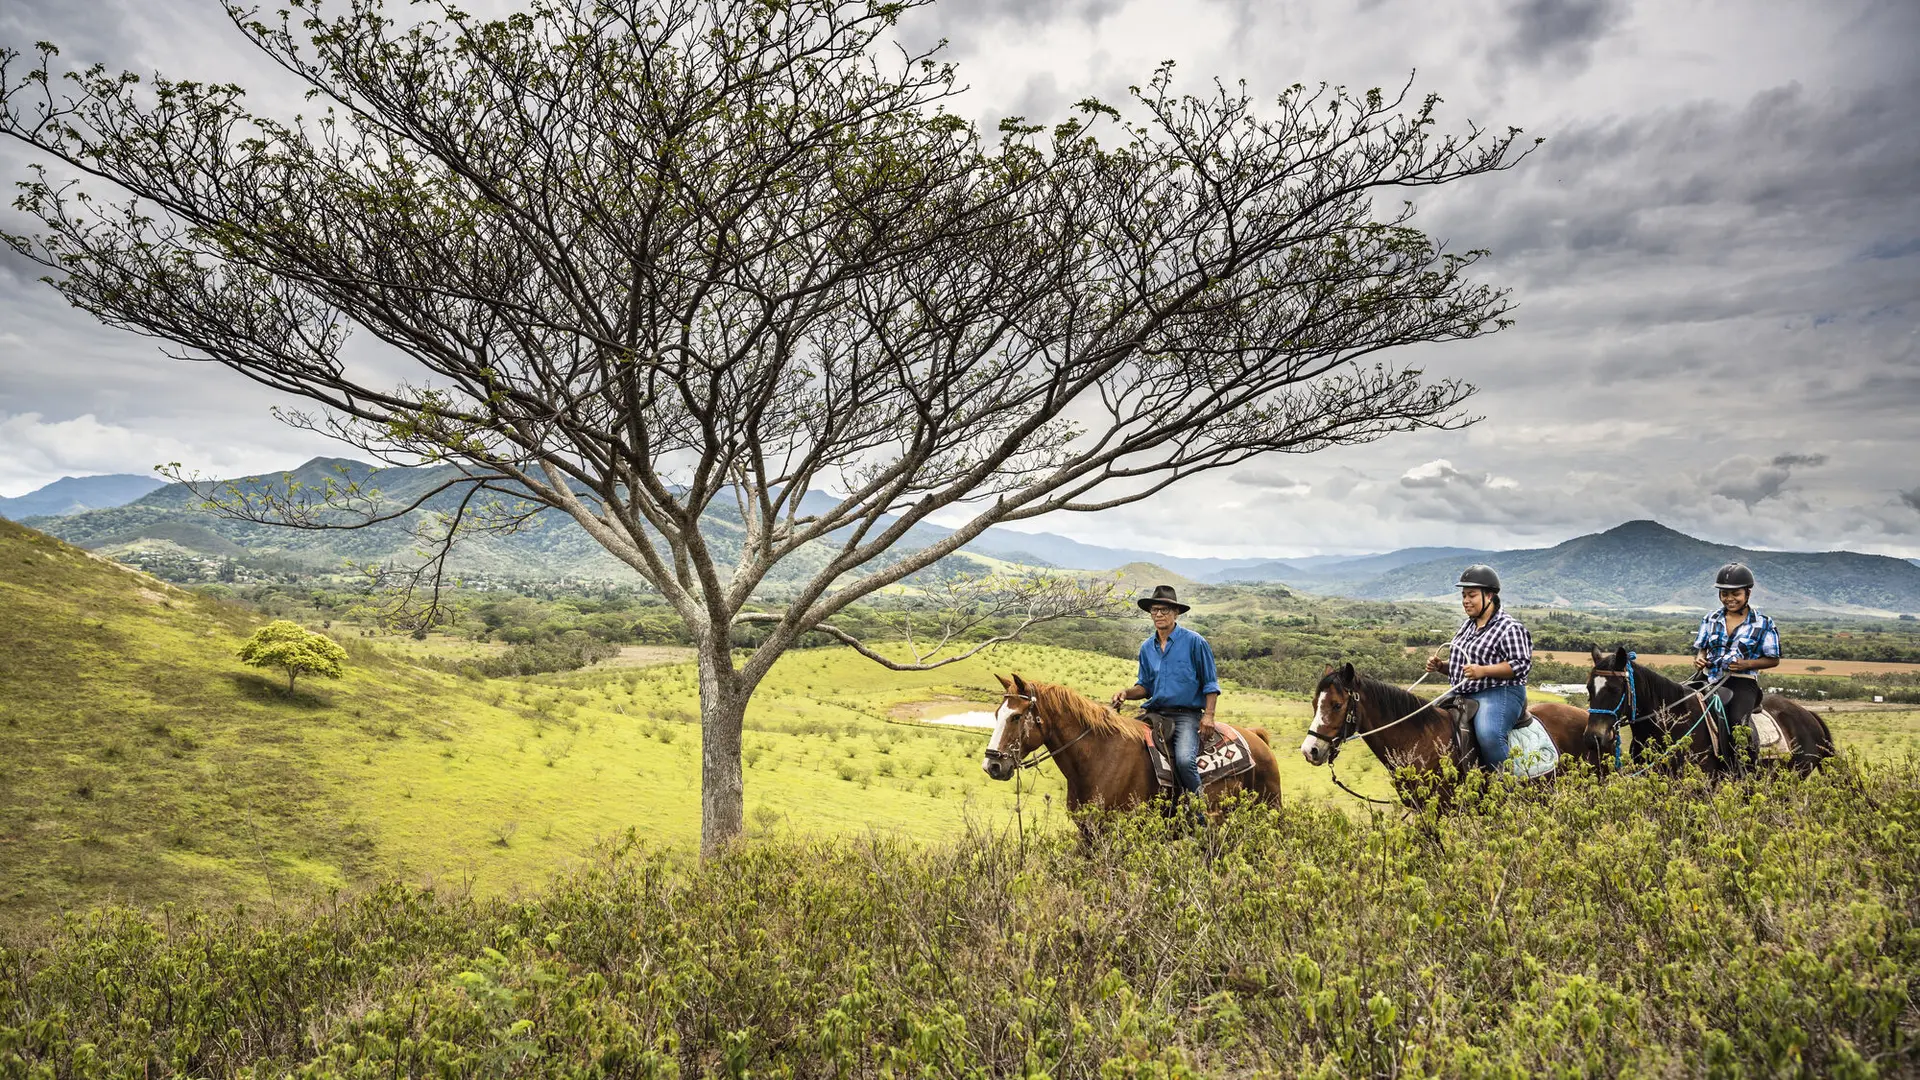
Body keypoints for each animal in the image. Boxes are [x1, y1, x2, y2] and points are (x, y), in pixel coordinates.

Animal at [983, 664, 1282, 822]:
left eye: (1016, 717)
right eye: (997, 714)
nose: (992, 765)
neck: (1098, 757)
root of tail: (1257, 738)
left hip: (1270, 810)